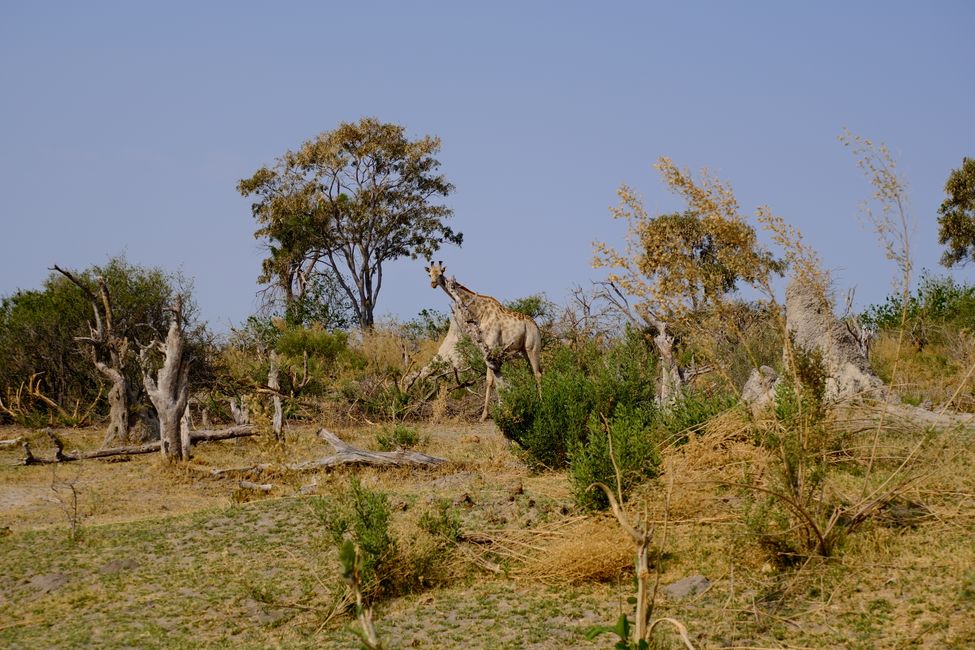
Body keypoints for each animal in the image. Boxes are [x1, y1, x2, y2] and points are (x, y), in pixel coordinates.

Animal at [426, 260, 540, 420]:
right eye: (429, 273)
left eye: (441, 273)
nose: (433, 283)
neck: (479, 312)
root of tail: (536, 326)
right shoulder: (487, 348)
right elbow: (492, 380)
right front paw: (496, 410)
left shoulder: (491, 346)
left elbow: (490, 381)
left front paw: (486, 414)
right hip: (523, 350)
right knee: (532, 373)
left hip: (532, 348)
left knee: (538, 374)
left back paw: (542, 402)